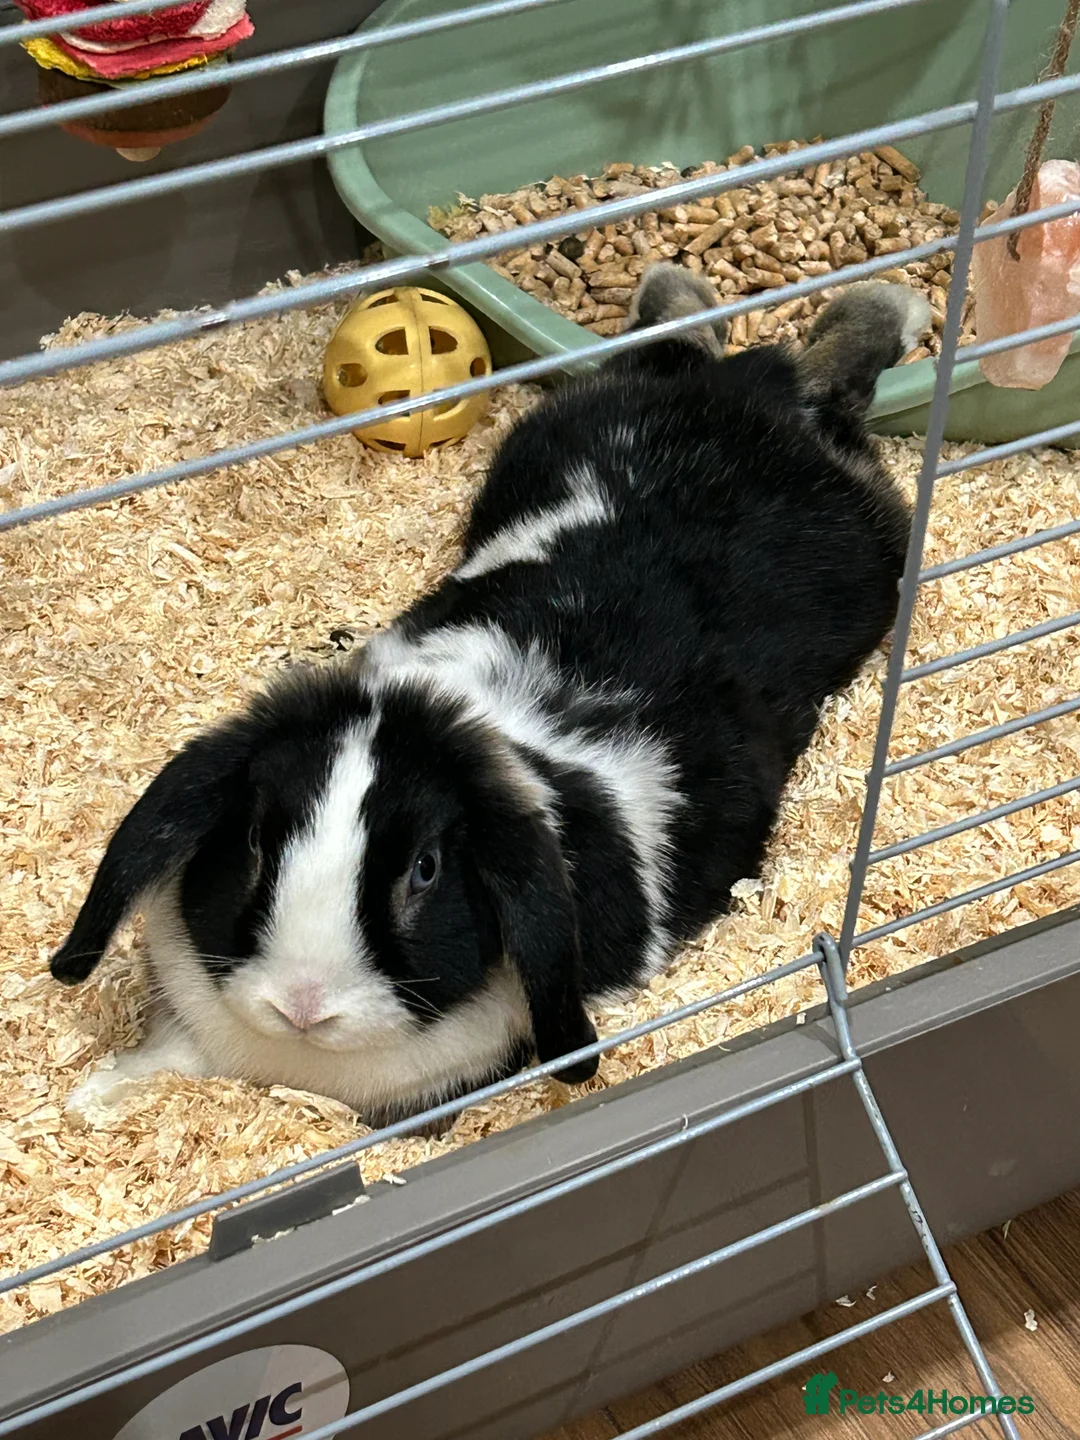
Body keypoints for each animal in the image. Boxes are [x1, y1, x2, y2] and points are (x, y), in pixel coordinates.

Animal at [49, 265, 928, 1127]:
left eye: (428, 870)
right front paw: (92, 1101)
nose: (303, 1004)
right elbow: (163, 1059)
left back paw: (883, 308)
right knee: (691, 337)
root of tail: (762, 391)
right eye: (259, 839)